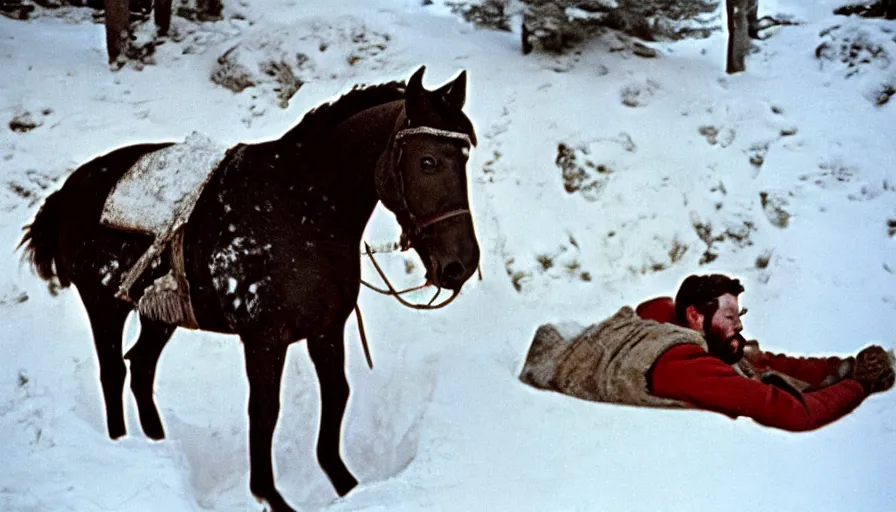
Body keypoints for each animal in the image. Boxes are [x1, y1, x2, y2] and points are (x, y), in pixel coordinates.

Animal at [17, 67, 480, 512]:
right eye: (427, 161)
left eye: (463, 158)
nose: (461, 264)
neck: (303, 207)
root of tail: (68, 192)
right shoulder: (264, 339)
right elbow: (264, 412)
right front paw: (269, 496)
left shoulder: (326, 329)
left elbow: (337, 395)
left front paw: (345, 483)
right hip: (105, 308)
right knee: (113, 372)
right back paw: (123, 447)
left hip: (158, 315)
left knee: (141, 368)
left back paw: (157, 446)